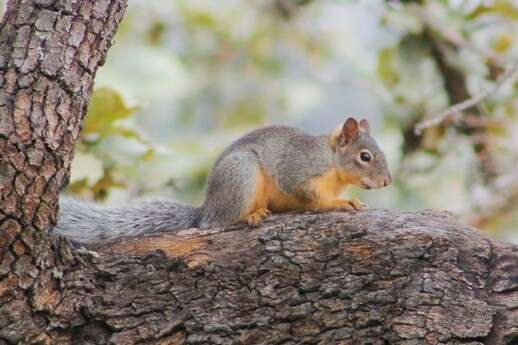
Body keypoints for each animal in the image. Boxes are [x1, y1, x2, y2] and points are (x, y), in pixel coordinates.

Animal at [54, 117, 392, 243]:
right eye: (365, 156)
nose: (387, 182)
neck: (333, 162)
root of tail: (207, 208)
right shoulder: (300, 171)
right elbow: (312, 195)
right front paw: (343, 202)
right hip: (241, 175)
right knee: (219, 223)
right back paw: (249, 216)